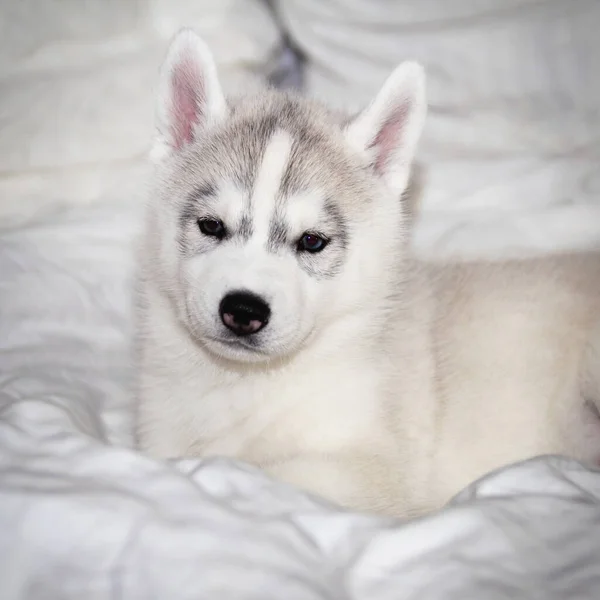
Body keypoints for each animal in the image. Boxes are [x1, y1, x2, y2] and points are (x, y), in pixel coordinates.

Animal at [135, 29, 600, 516]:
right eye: (211, 226)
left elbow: (258, 471)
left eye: (312, 241)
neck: (243, 383)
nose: (243, 309)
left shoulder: (369, 474)